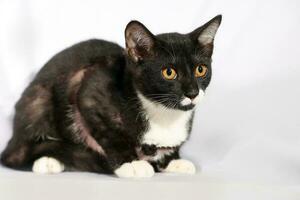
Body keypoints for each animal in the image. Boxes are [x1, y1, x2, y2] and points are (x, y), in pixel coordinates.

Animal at [1, 15, 221, 178]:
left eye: (200, 70)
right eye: (169, 72)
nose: (192, 92)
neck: (164, 114)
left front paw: (173, 161)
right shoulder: (87, 90)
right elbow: (109, 135)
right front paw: (131, 163)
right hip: (39, 101)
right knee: (16, 156)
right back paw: (48, 161)